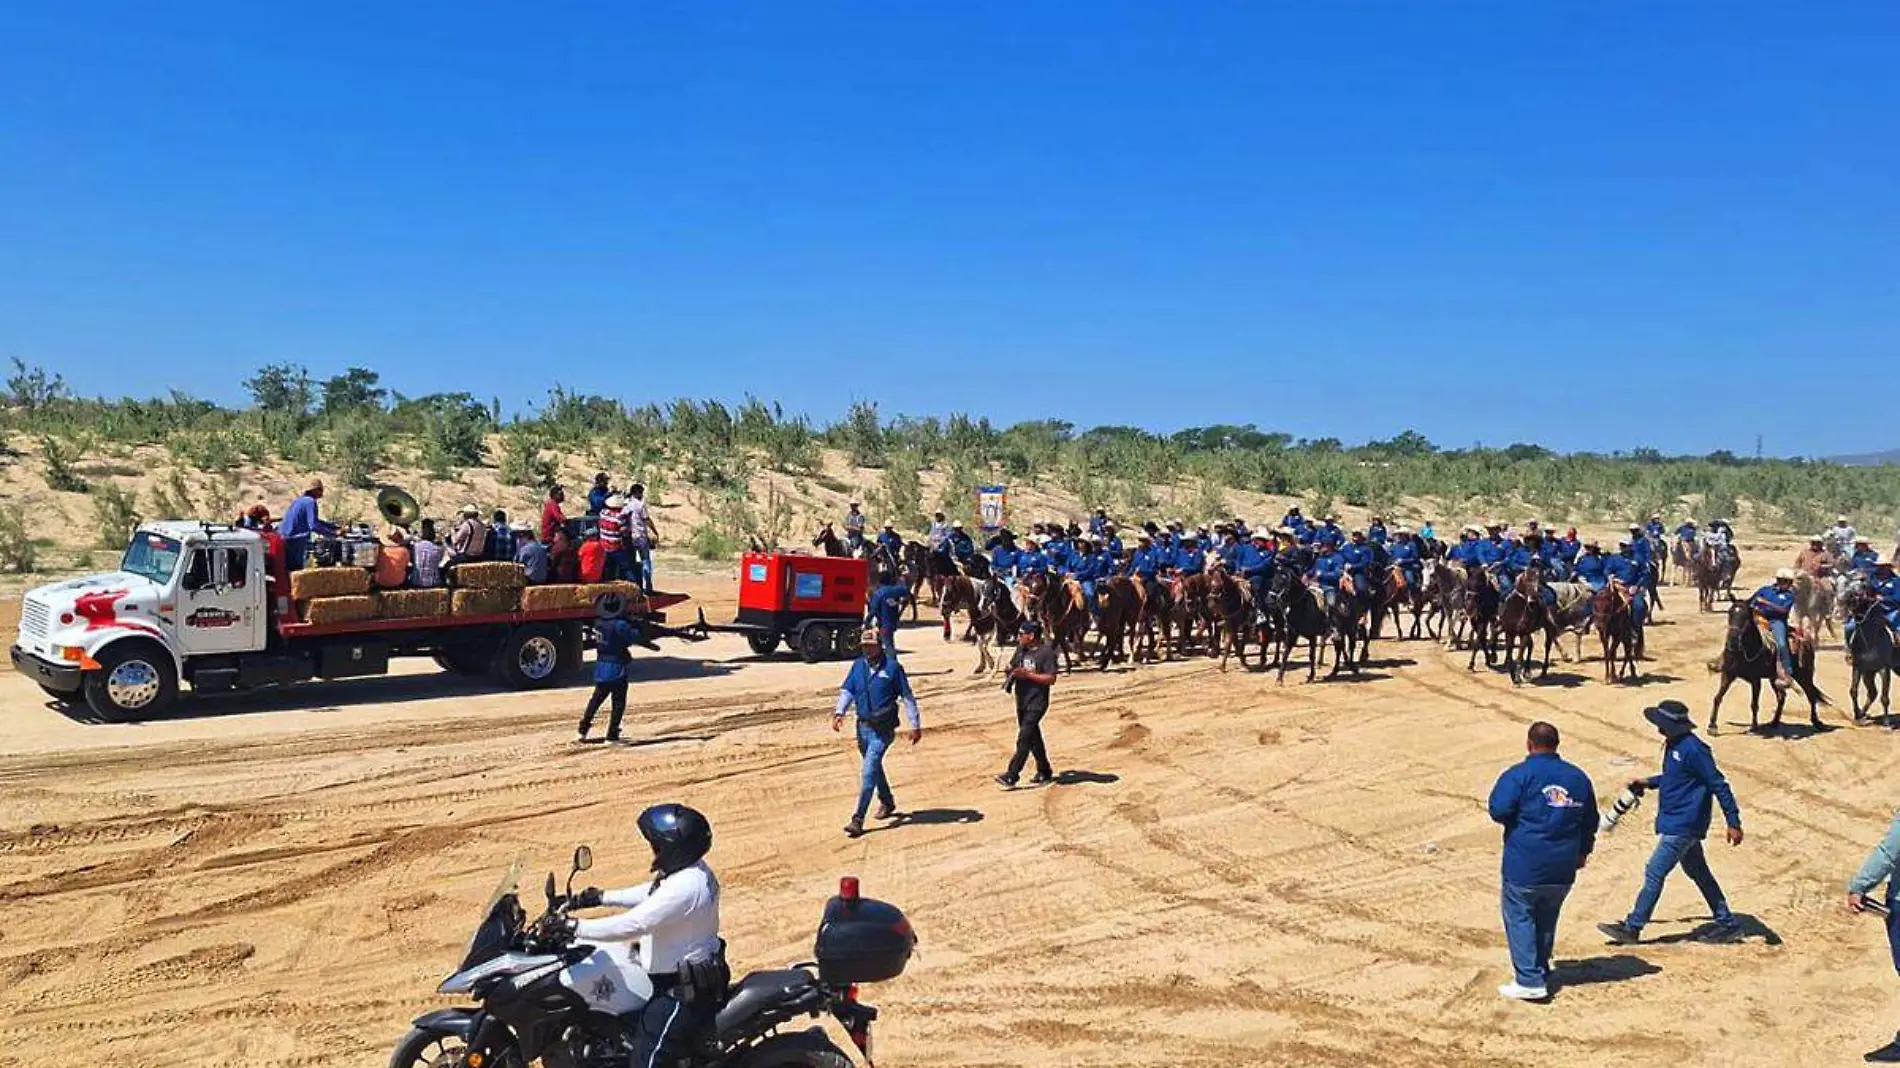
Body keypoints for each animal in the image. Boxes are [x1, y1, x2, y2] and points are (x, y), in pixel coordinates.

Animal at [1710, 600, 1824, 729]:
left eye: (1745, 616)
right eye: (1730, 613)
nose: (1732, 641)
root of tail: (1806, 637)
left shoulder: (1755, 680)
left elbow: (1754, 704)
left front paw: (1754, 726)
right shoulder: (1728, 674)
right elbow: (1718, 697)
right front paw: (1712, 725)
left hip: (1804, 675)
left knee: (1811, 695)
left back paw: (1816, 722)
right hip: (1774, 678)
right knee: (1782, 697)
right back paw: (1774, 721)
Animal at [1846, 585, 1892, 725]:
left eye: (1863, 596)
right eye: (1854, 594)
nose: (1848, 600)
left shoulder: (1884, 669)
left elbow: (1885, 697)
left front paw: (1887, 722)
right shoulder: (1859, 667)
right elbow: (1853, 691)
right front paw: (1857, 715)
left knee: (1874, 693)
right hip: (1869, 674)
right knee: (1872, 693)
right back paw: (1862, 714)